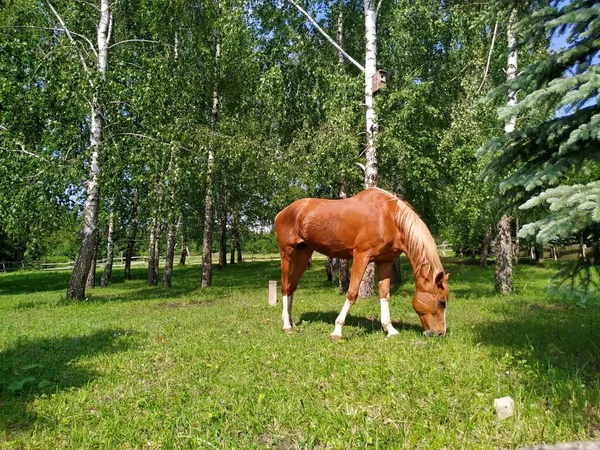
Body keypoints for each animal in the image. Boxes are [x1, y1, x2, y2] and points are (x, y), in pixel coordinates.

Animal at [274, 187, 448, 342]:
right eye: (442, 302)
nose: (440, 333)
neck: (389, 218)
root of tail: (281, 213)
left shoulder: (385, 261)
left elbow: (385, 294)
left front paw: (390, 329)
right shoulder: (361, 256)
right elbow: (352, 293)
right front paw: (337, 331)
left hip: (303, 254)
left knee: (292, 286)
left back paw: (291, 321)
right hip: (286, 253)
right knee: (285, 287)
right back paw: (286, 325)